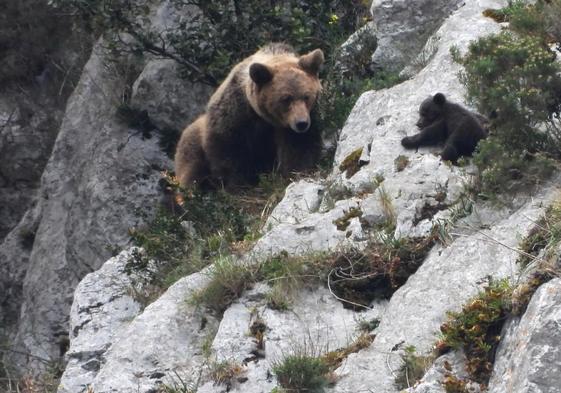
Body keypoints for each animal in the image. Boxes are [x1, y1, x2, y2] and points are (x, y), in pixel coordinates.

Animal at [175, 43, 324, 188]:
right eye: (286, 99)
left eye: (306, 96)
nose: (301, 123)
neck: (264, 118)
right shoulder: (235, 114)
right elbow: (229, 151)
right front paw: (237, 183)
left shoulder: (297, 123)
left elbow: (299, 147)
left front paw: (296, 172)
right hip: (192, 143)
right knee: (193, 171)